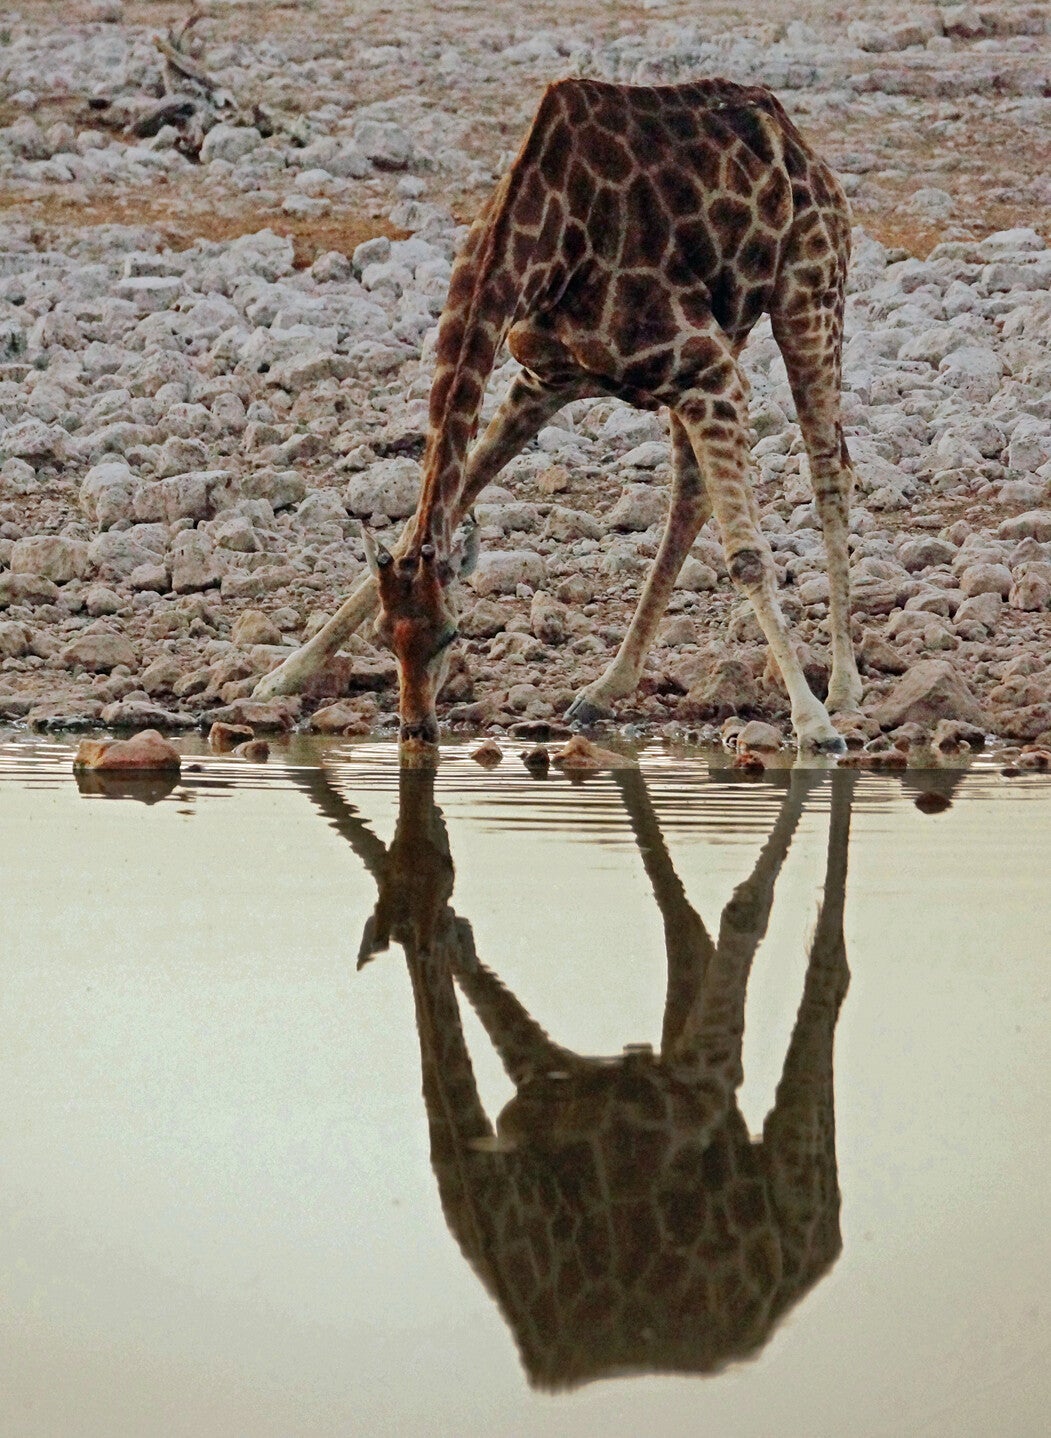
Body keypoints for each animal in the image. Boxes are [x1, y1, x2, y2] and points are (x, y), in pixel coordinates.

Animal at [257, 77, 864, 753]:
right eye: (384, 638)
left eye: (452, 635)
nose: (416, 729)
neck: (546, 246)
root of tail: (794, 137)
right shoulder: (550, 377)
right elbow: (446, 504)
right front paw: (283, 675)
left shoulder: (707, 373)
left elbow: (748, 556)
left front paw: (814, 726)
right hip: (722, 338)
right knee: (691, 492)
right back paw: (605, 688)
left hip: (809, 293)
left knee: (829, 467)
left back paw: (842, 691)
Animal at [304, 760, 852, 1387]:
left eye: (436, 862)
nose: (429, 820)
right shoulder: (546, 1076)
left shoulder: (699, 1085)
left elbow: (742, 912)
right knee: (686, 934)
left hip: (793, 1176)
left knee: (823, 972)